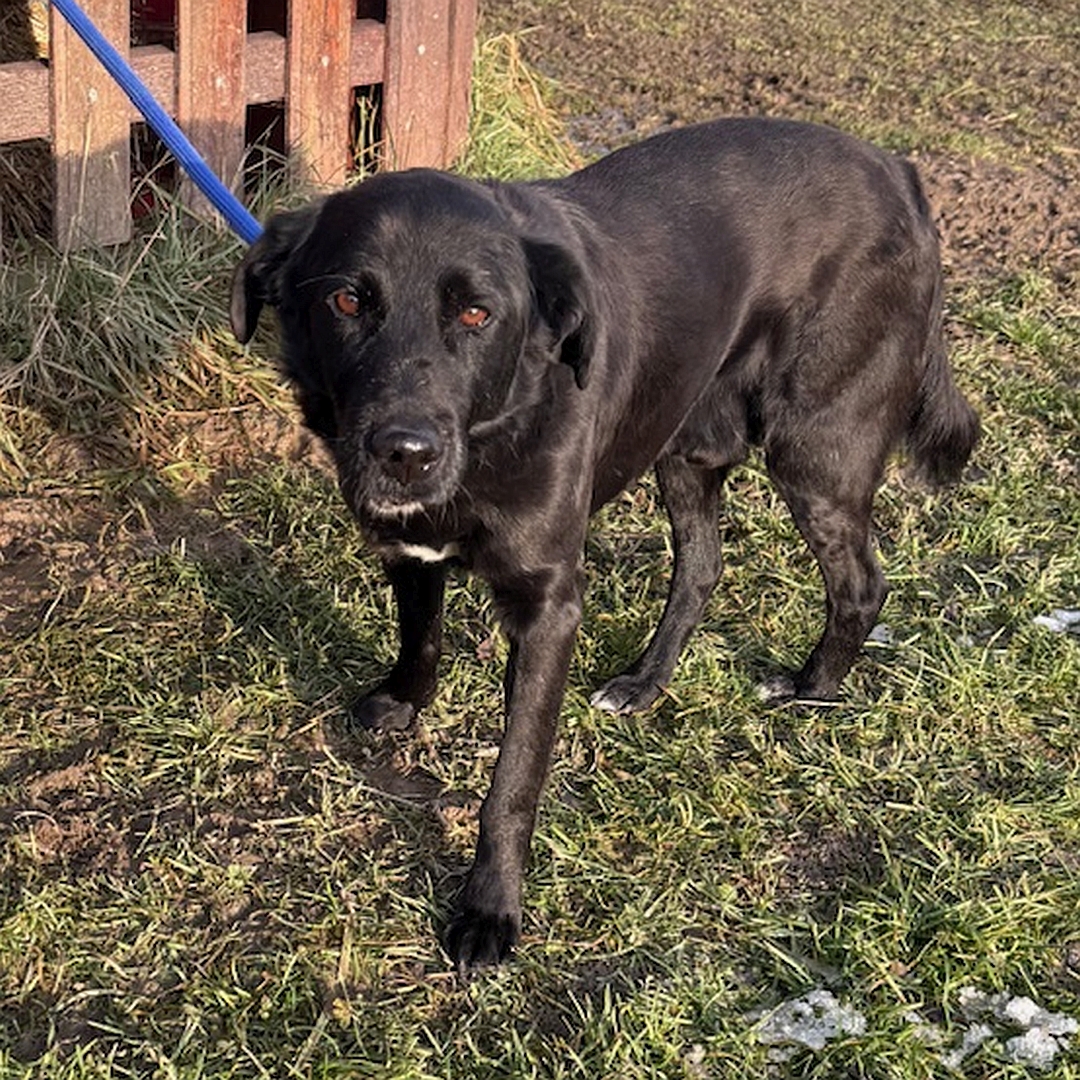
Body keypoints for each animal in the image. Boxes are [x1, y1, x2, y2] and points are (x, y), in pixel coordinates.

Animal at [227, 118, 980, 972]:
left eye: (477, 315)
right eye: (348, 299)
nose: (404, 451)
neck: (496, 427)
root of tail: (897, 170)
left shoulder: (550, 606)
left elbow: (514, 779)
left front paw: (490, 911)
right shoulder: (409, 544)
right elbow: (420, 631)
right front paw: (404, 701)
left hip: (816, 449)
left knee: (861, 583)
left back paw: (812, 692)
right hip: (686, 444)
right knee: (703, 566)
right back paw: (646, 683)